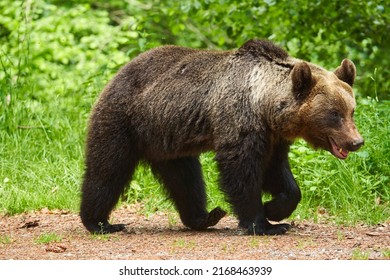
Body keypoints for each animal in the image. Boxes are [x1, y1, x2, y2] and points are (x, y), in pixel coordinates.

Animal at [80, 39, 364, 235]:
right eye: (334, 114)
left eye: (351, 110)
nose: (356, 142)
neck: (265, 106)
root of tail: (118, 73)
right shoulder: (239, 121)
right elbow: (241, 171)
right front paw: (263, 223)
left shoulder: (272, 138)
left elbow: (279, 175)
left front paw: (275, 209)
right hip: (123, 120)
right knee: (107, 169)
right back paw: (99, 222)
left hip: (167, 140)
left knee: (186, 179)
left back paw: (204, 217)